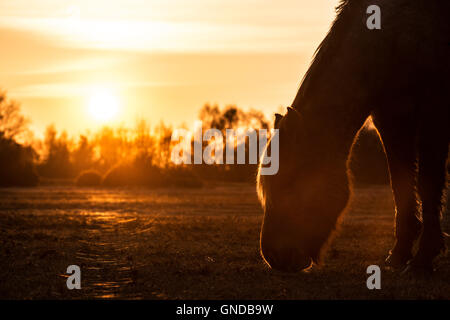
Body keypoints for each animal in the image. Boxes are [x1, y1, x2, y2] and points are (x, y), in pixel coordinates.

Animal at [256, 1, 450, 274]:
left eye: (290, 183)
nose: (275, 258)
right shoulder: (391, 119)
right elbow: (400, 184)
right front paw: (399, 254)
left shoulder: (434, 115)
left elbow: (427, 183)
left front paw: (423, 259)